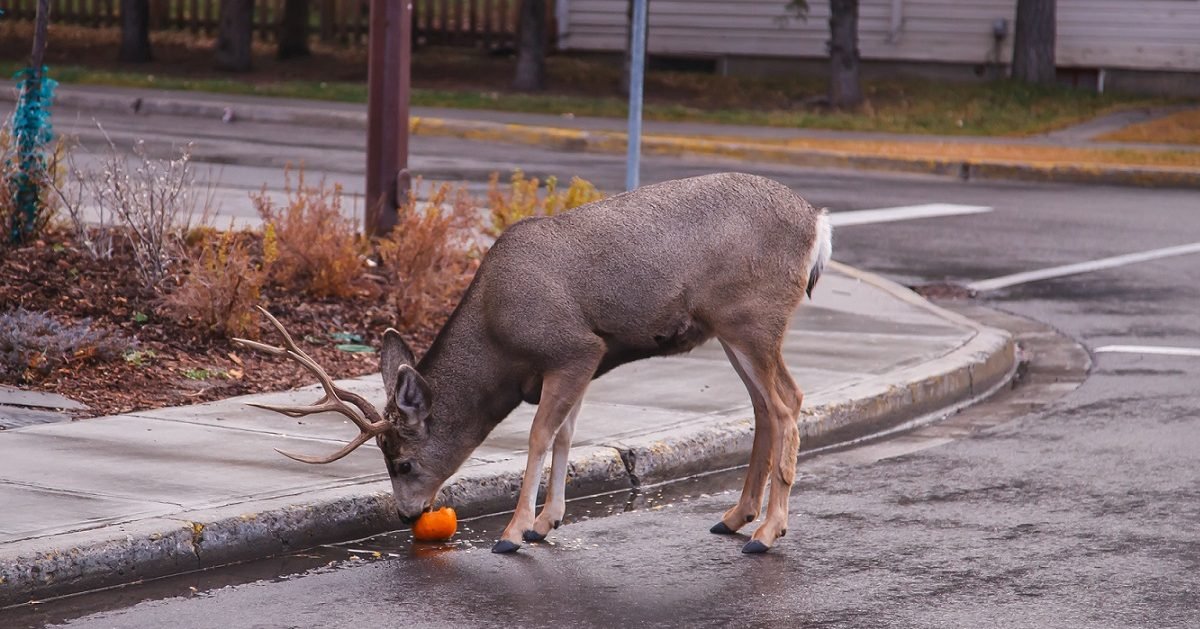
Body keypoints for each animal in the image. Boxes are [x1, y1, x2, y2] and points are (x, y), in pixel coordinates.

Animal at [235, 169, 835, 552]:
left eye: (402, 463)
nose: (408, 514)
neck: (500, 336)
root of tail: (819, 223)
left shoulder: (573, 347)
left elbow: (540, 434)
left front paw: (512, 532)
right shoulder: (586, 360)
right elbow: (567, 432)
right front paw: (547, 523)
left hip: (752, 317)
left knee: (788, 402)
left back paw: (766, 534)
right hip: (733, 329)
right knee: (764, 406)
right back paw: (735, 519)